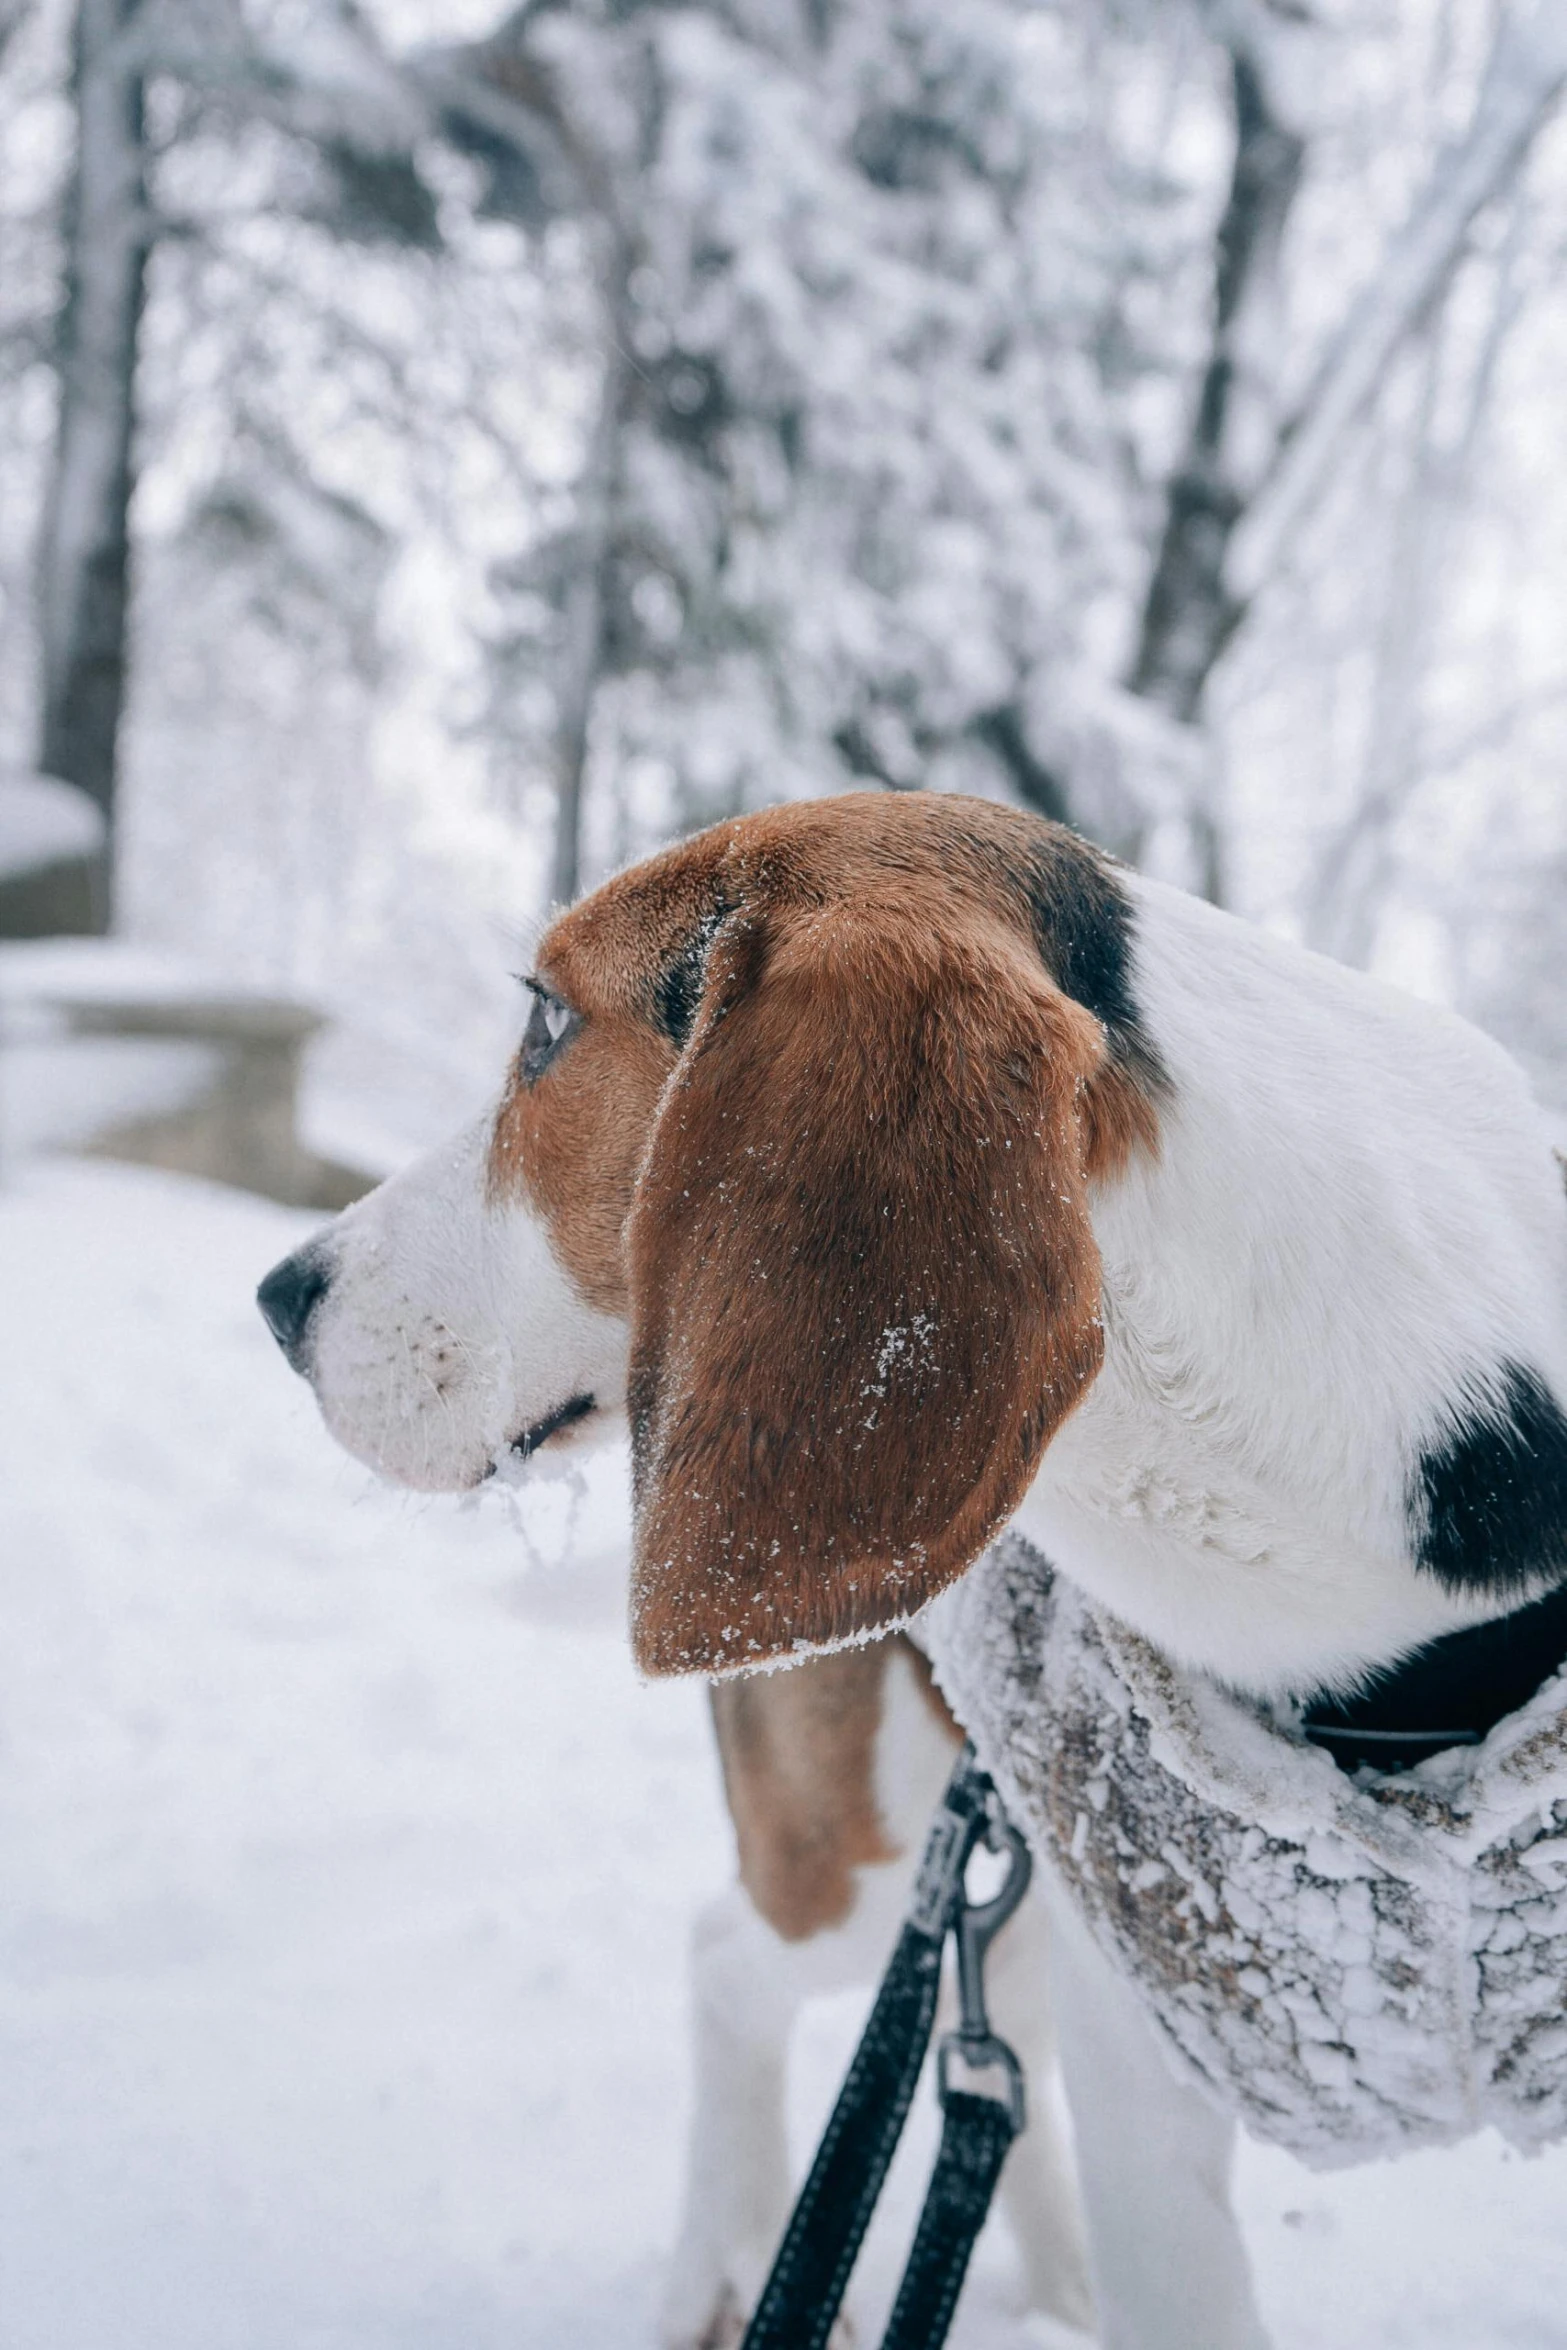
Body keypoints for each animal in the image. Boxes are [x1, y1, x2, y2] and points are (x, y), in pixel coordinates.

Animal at [257, 794, 1567, 2350]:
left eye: (547, 1022)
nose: (280, 1298)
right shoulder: (1150, 2092)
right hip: (880, 1845)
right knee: (732, 1960)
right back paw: (727, 2270)